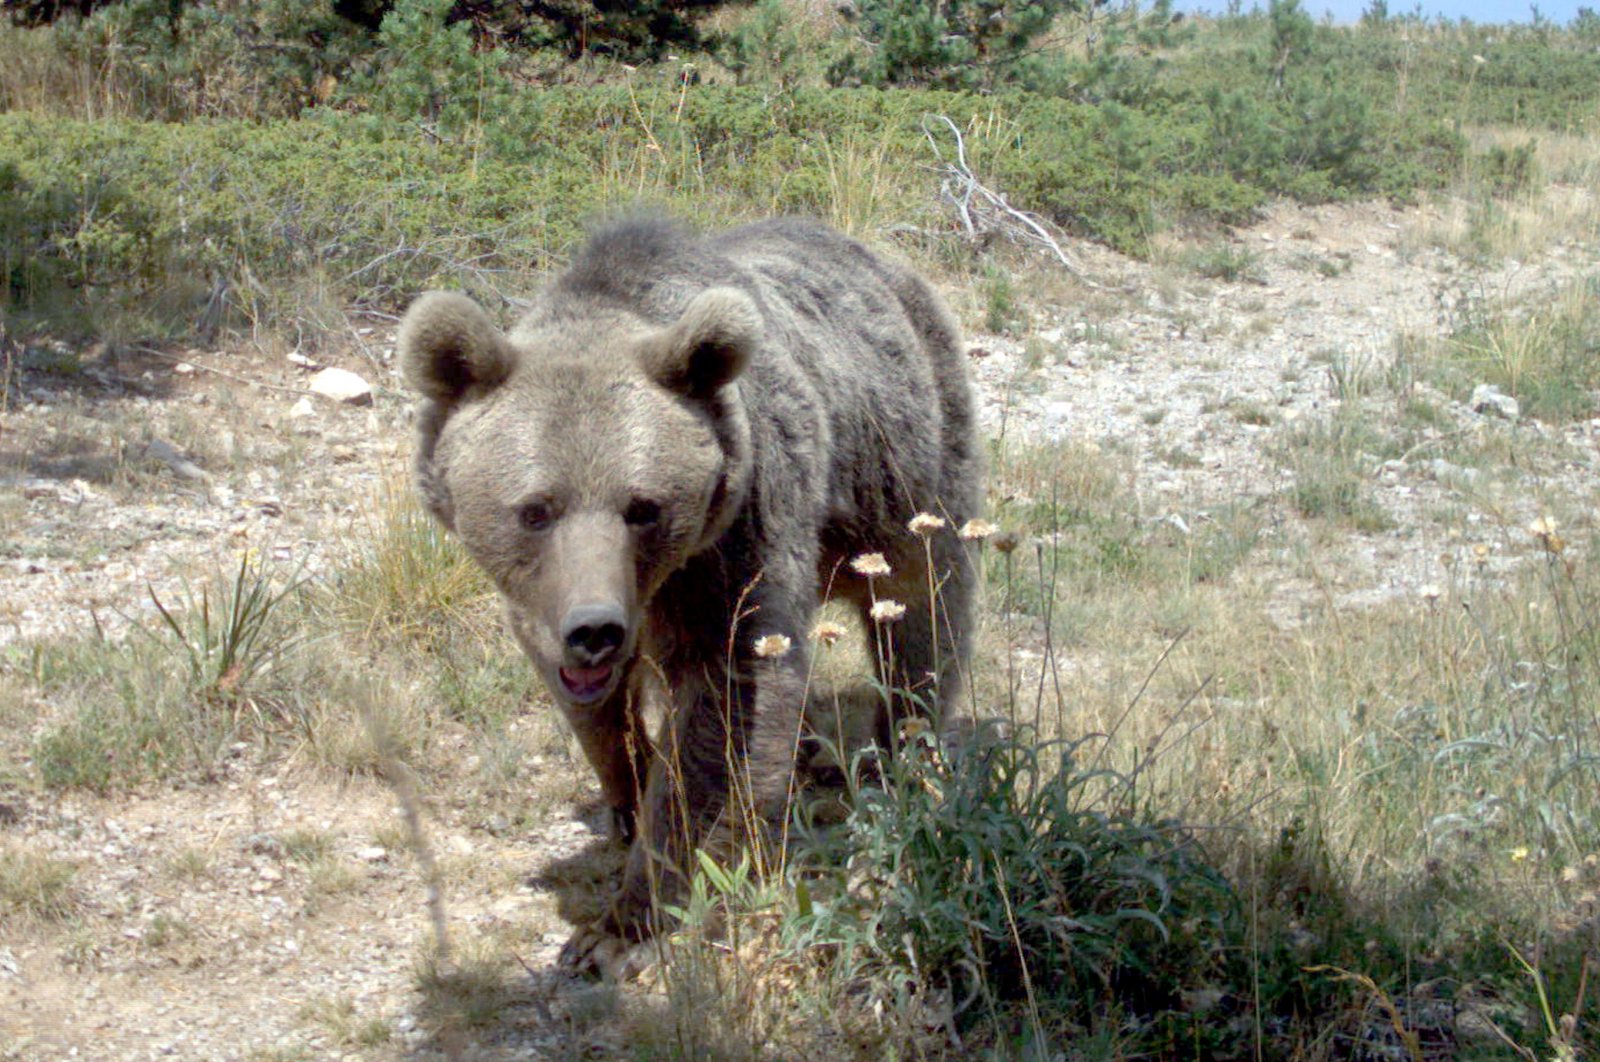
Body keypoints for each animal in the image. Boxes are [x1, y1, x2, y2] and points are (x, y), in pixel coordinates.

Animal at [393, 217, 979, 978]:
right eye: (535, 509)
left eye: (642, 506)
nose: (595, 629)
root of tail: (884, 260)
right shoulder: (546, 603)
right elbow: (593, 711)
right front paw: (625, 795)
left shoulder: (734, 542)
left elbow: (726, 712)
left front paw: (622, 926)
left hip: (905, 457)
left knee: (922, 607)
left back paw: (898, 752)